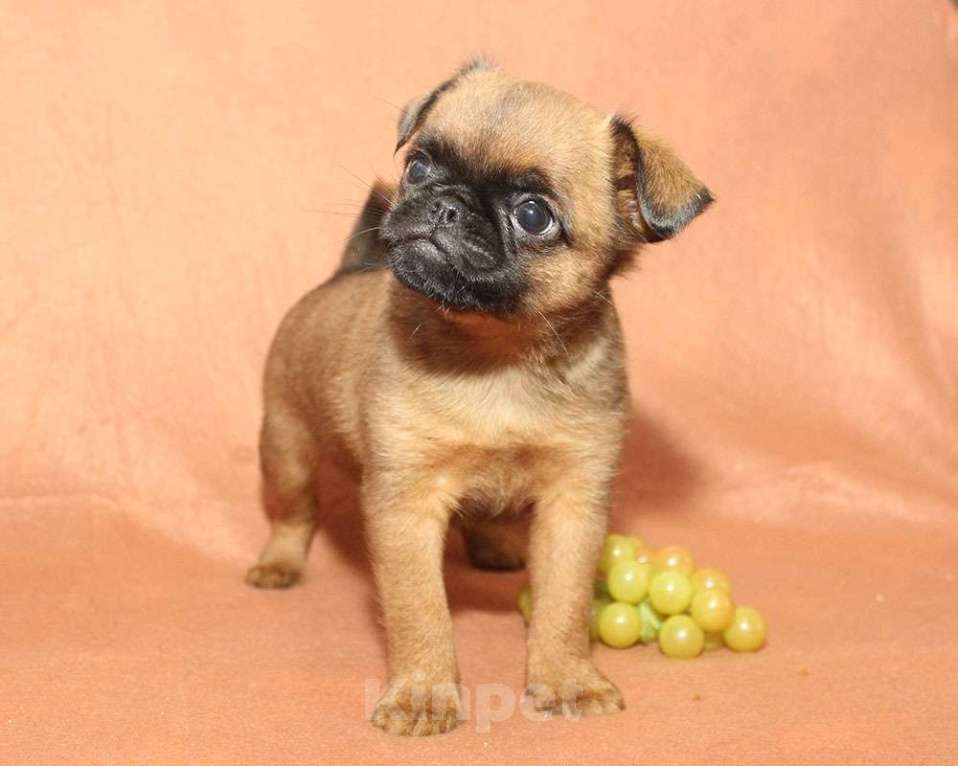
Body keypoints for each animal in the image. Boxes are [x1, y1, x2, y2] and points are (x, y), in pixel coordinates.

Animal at [248, 61, 712, 736]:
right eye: (418, 166)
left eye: (533, 215)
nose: (444, 203)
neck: (498, 357)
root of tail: (343, 272)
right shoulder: (406, 507)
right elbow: (420, 611)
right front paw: (422, 692)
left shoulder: (574, 506)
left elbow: (564, 604)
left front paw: (566, 678)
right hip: (285, 447)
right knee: (293, 513)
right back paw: (280, 563)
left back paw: (493, 548)